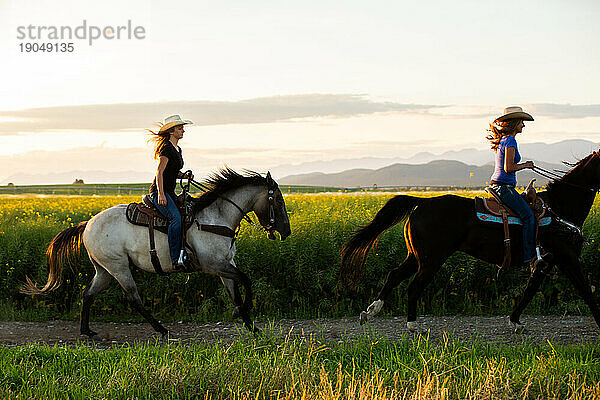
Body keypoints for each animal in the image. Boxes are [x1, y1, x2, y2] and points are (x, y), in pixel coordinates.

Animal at [19, 169, 290, 338]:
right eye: (278, 200)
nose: (286, 232)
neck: (215, 217)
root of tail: (87, 224)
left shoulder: (225, 264)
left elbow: (235, 291)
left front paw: (251, 326)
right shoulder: (213, 264)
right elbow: (246, 280)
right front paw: (242, 312)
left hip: (104, 269)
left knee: (88, 293)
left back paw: (87, 331)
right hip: (119, 267)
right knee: (133, 298)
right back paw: (161, 329)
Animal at [342, 150, 600, 332]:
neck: (561, 207)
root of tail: (422, 202)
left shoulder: (546, 263)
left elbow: (530, 290)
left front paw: (515, 321)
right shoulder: (567, 258)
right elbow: (586, 291)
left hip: (417, 257)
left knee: (394, 275)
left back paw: (371, 311)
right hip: (431, 259)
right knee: (413, 286)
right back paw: (413, 325)